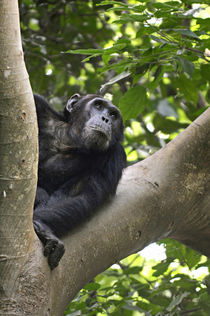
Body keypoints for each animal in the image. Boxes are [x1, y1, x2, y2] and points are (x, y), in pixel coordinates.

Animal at [33, 93, 126, 270]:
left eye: (113, 114)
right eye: (98, 105)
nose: (105, 119)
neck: (71, 142)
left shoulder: (114, 156)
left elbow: (81, 195)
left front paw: (42, 227)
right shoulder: (37, 106)